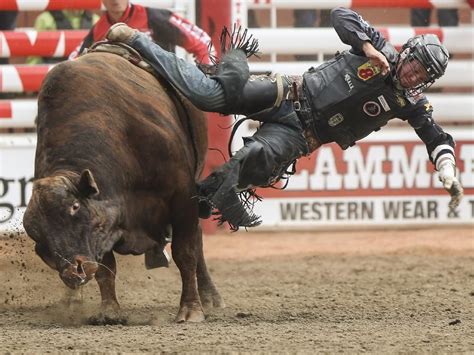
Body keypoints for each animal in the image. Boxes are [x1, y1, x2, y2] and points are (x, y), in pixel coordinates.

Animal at [24, 48, 226, 326]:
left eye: (75, 207)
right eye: (37, 234)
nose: (74, 272)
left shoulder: (183, 198)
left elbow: (185, 253)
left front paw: (190, 309)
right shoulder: (105, 226)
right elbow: (106, 267)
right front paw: (109, 310)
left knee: (197, 243)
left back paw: (209, 296)